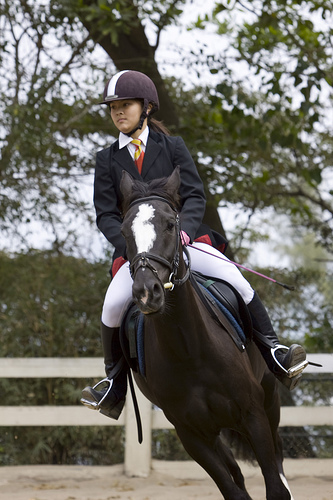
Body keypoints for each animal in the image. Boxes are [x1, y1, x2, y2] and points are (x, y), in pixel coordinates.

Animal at [119, 169, 294, 500]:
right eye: (124, 230)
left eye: (170, 224)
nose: (147, 293)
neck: (190, 351)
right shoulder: (191, 435)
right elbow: (233, 491)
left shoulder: (253, 415)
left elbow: (275, 487)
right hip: (213, 431)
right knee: (236, 472)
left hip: (269, 400)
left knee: (277, 455)